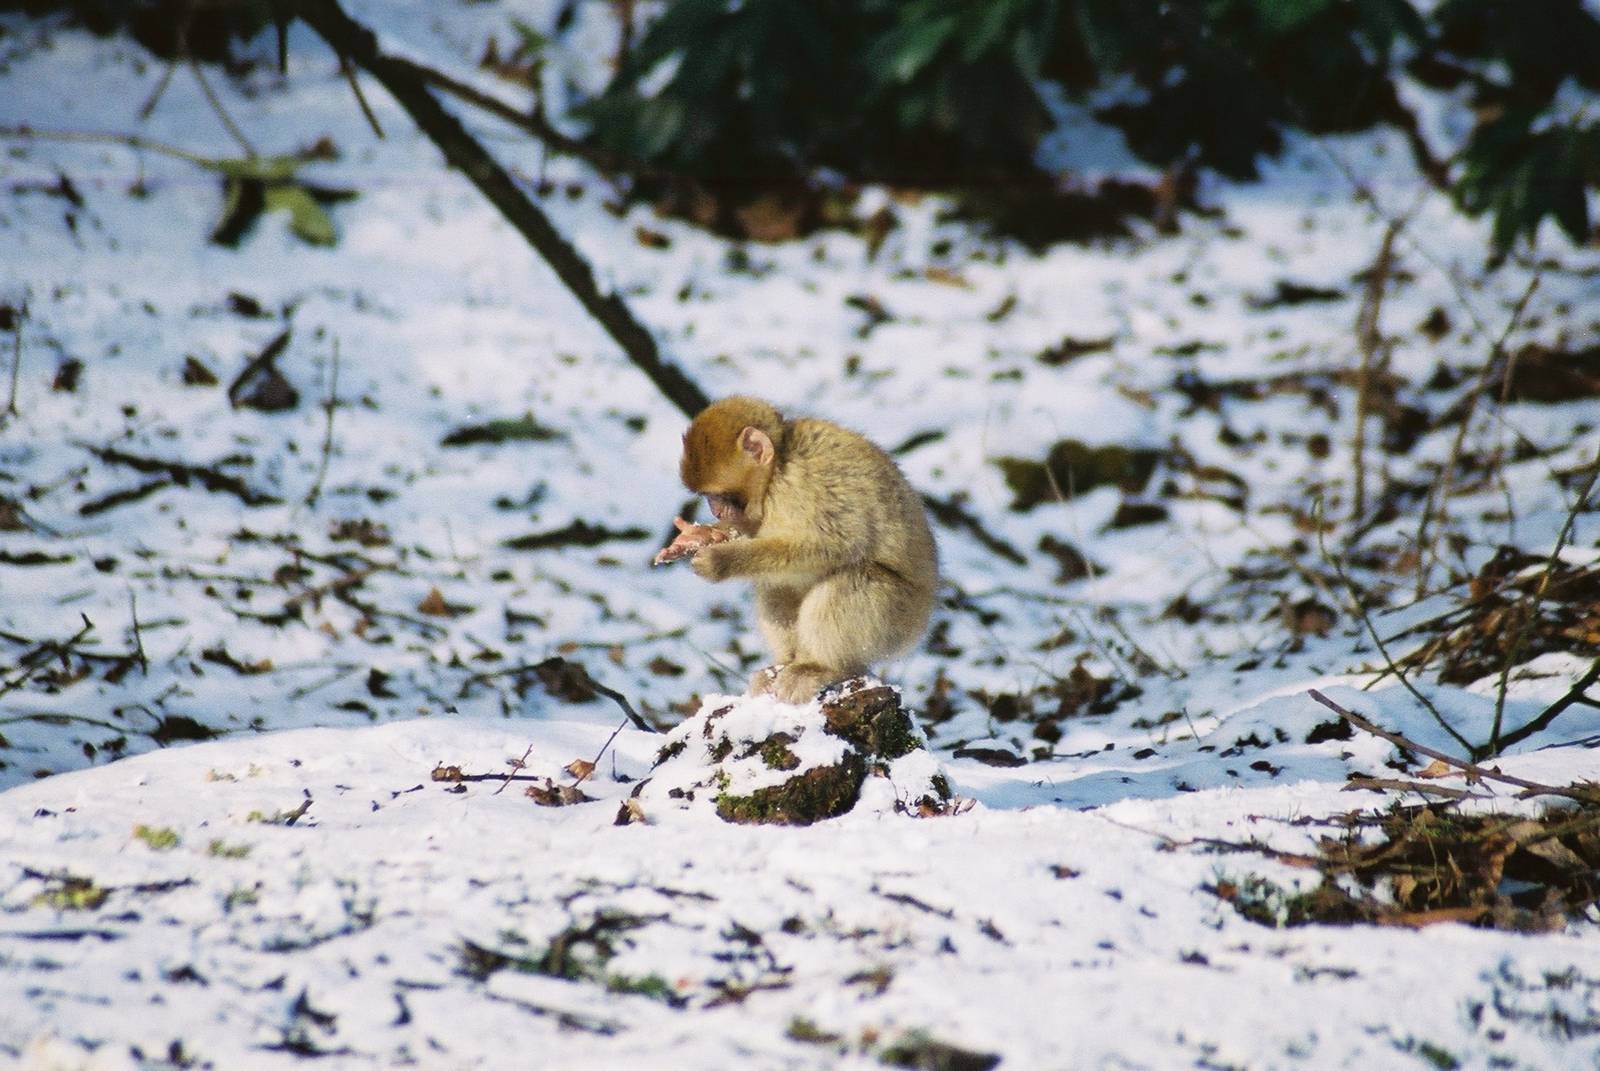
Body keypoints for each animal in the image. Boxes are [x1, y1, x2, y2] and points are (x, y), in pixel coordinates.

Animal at [657, 396, 938, 704]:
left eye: (719, 495)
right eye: (708, 497)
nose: (716, 511)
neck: (779, 464)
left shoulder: (804, 485)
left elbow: (835, 546)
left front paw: (721, 560)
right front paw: (702, 536)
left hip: (900, 620)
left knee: (851, 579)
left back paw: (821, 667)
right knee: (776, 586)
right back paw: (785, 664)